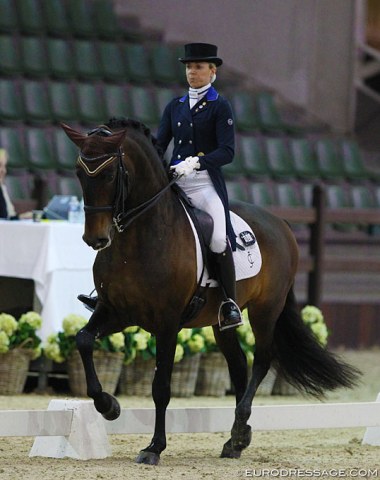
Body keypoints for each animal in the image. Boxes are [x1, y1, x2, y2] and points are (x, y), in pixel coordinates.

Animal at [61, 119, 360, 464]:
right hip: (220, 322)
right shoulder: (116, 312)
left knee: (262, 359)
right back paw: (236, 439)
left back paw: (239, 428)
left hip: (266, 309)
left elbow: (161, 386)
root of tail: (280, 222)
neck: (138, 239)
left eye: (110, 174)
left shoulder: (167, 323)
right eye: (79, 172)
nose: (95, 239)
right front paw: (109, 406)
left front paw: (154, 447)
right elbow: (83, 340)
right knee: (239, 365)